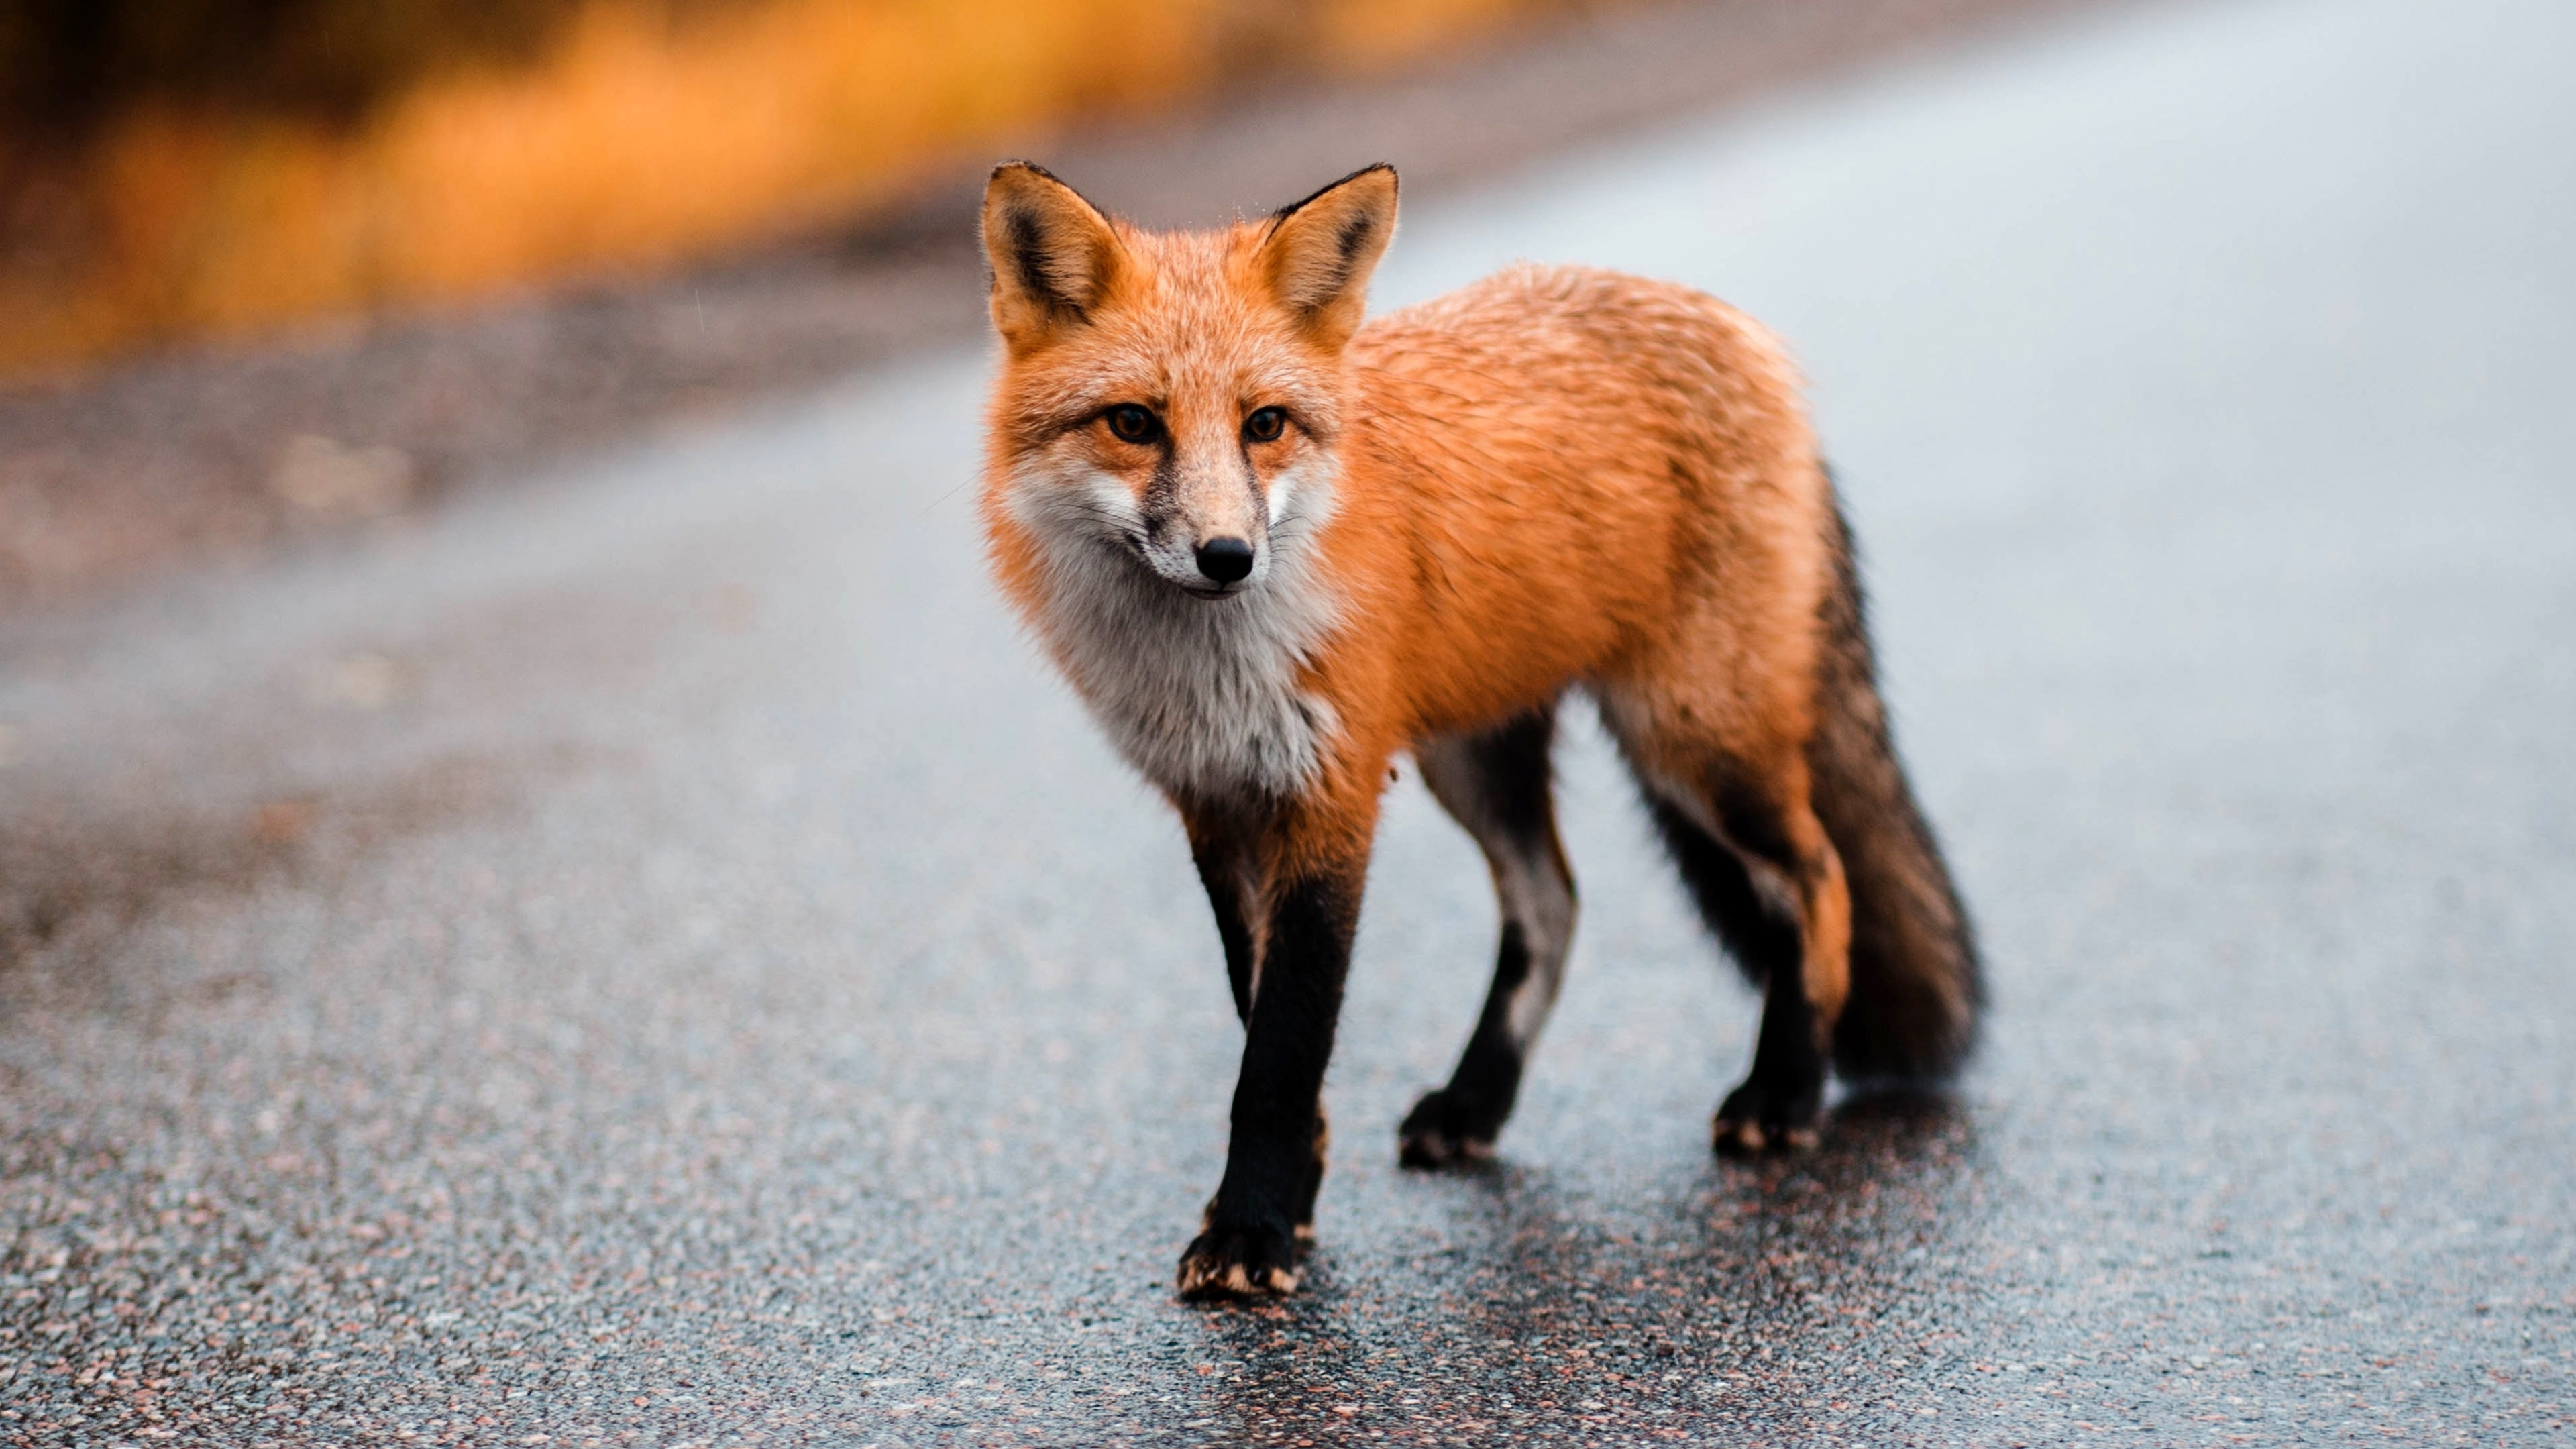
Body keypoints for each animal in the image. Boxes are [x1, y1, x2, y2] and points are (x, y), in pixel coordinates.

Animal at [977, 160, 1980, 1300]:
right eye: (1135, 424)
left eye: (1264, 425)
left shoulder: (1333, 795)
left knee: (1817, 881)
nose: (1229, 557)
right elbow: (1260, 1020)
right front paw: (1291, 1202)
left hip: (1691, 739)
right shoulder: (1218, 804)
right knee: (1554, 903)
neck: (1210, 670)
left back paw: (1784, 1093)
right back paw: (1477, 1103)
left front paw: (1253, 1231)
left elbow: (1282, 1050)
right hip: (1477, 759)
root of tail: (1735, 327)